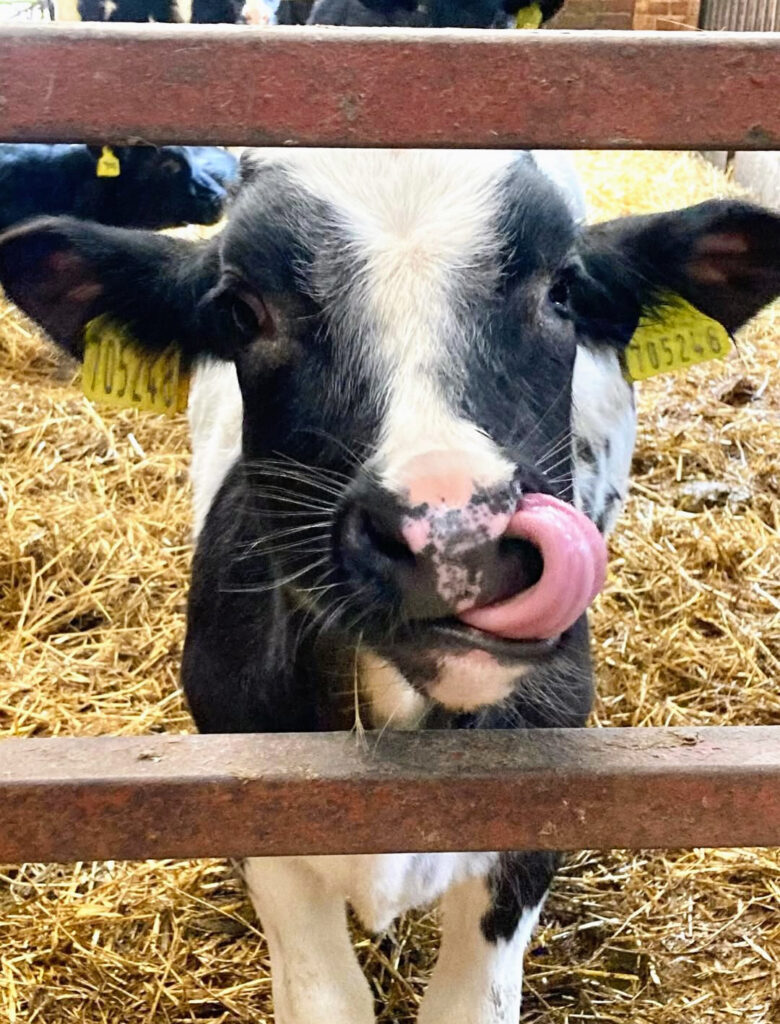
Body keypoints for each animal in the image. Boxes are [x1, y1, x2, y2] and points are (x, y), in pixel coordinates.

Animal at [1, 148, 778, 1023]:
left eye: (565, 290)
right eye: (239, 312)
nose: (454, 532)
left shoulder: (531, 816)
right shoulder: (253, 810)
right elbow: (326, 998)